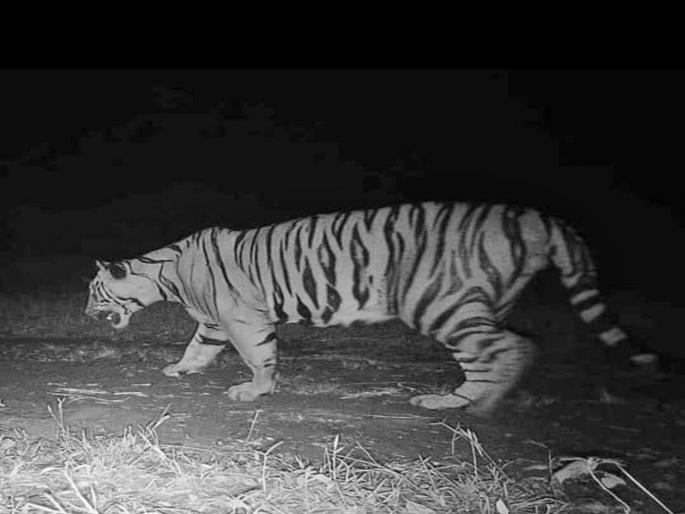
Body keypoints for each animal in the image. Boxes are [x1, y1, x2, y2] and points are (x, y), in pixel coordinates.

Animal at [85, 201, 657, 415]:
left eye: (94, 292)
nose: (85, 313)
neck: (167, 273)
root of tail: (537, 219)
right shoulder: (213, 322)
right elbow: (197, 349)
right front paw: (179, 370)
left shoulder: (242, 317)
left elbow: (258, 355)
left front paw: (255, 390)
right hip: (478, 304)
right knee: (497, 350)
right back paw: (462, 400)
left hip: (439, 305)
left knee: (508, 348)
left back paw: (471, 404)